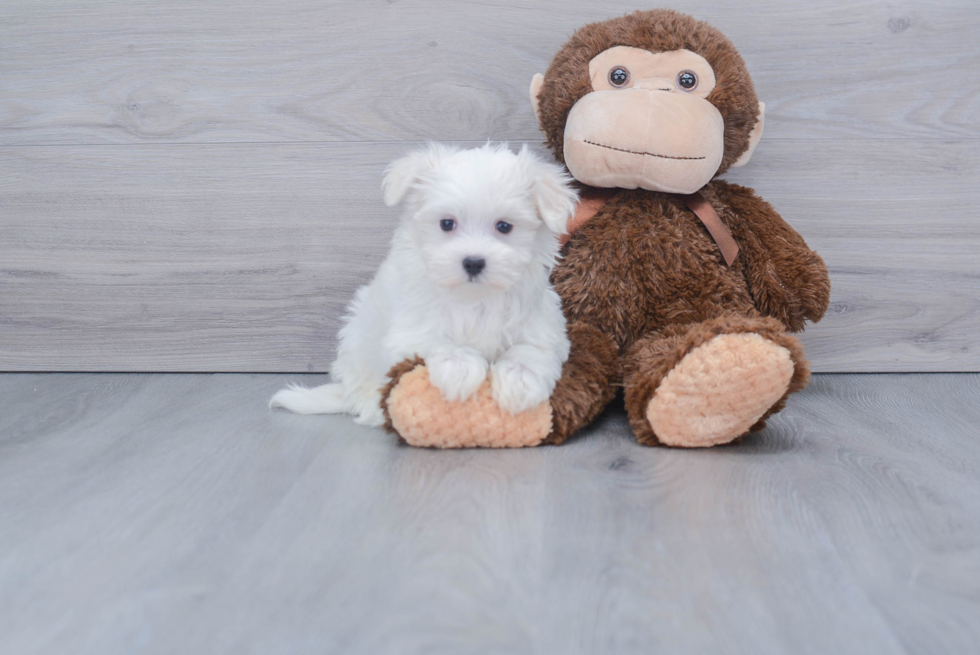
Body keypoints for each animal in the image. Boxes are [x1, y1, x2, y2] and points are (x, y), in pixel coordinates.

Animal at [268, 143, 580, 426]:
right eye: (446, 224)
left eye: (504, 226)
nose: (473, 262)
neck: (473, 298)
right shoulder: (411, 330)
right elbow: (437, 340)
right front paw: (459, 368)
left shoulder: (543, 325)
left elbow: (531, 350)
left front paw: (519, 381)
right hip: (358, 339)